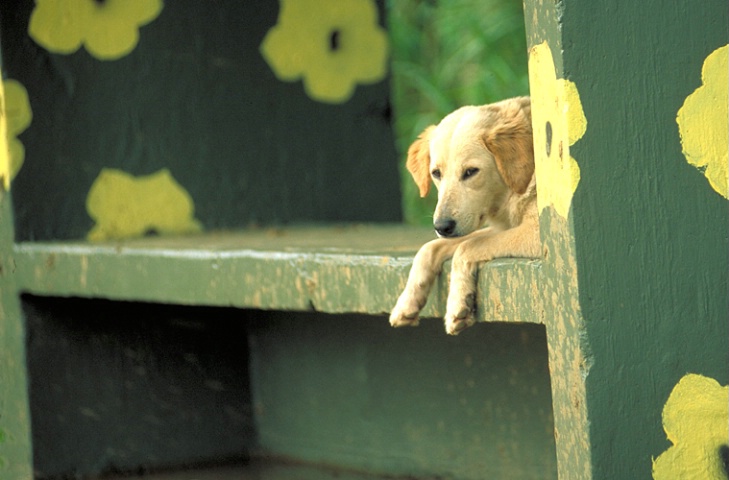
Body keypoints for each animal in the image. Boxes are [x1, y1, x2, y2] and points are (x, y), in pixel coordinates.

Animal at [390, 96, 536, 336]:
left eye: (470, 172)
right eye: (436, 173)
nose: (442, 227)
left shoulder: (538, 233)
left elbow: (466, 247)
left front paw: (458, 303)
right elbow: (430, 247)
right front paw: (407, 301)